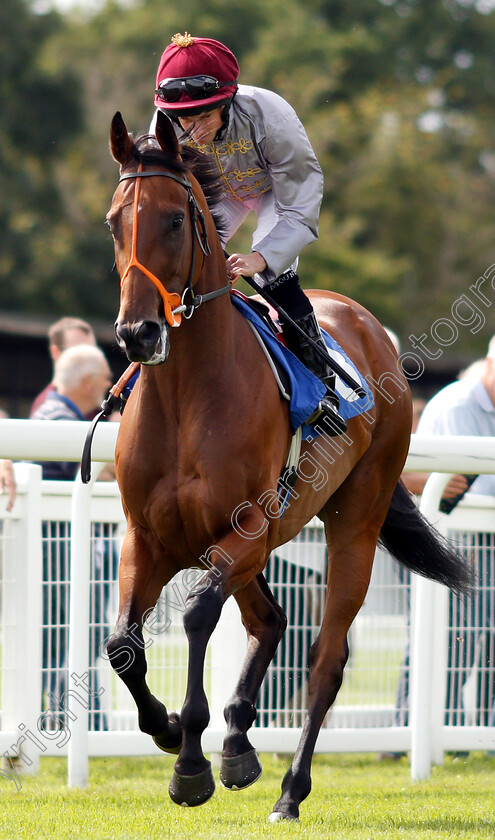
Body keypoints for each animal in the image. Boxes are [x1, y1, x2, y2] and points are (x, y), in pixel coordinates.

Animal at [106, 110, 470, 820]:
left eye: (173, 220)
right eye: (114, 221)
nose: (138, 333)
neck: (188, 395)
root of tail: (364, 322)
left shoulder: (245, 528)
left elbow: (197, 615)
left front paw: (189, 763)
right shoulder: (149, 535)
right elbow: (123, 645)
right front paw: (168, 729)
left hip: (354, 518)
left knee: (326, 656)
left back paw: (288, 789)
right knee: (269, 620)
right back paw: (240, 746)